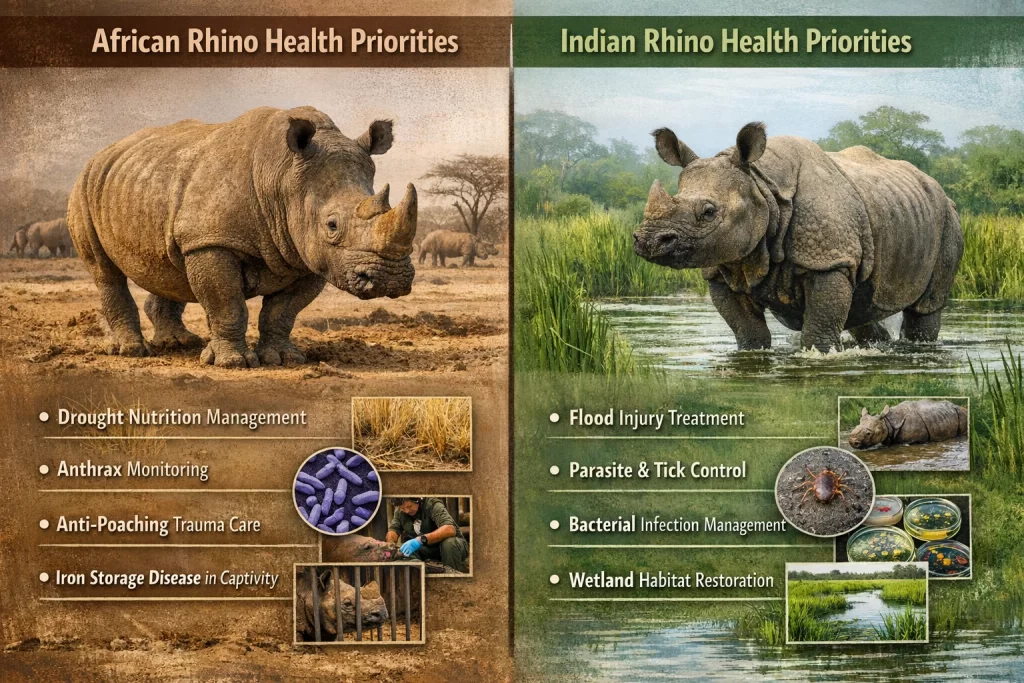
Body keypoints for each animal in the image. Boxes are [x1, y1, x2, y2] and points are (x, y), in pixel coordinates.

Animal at [67, 106, 416, 368]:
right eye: (332, 225)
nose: (390, 280)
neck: (282, 176)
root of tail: (102, 153)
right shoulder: (211, 241)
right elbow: (227, 303)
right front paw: (233, 363)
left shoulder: (309, 254)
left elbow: (283, 311)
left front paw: (283, 358)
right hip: (84, 186)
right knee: (105, 272)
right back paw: (132, 352)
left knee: (167, 265)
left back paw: (178, 344)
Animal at [634, 123, 963, 352]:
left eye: (709, 212)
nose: (648, 240)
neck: (762, 187)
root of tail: (937, 186)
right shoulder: (722, 267)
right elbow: (749, 333)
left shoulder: (830, 261)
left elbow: (818, 333)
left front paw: (821, 355)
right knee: (863, 308)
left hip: (948, 218)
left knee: (926, 306)